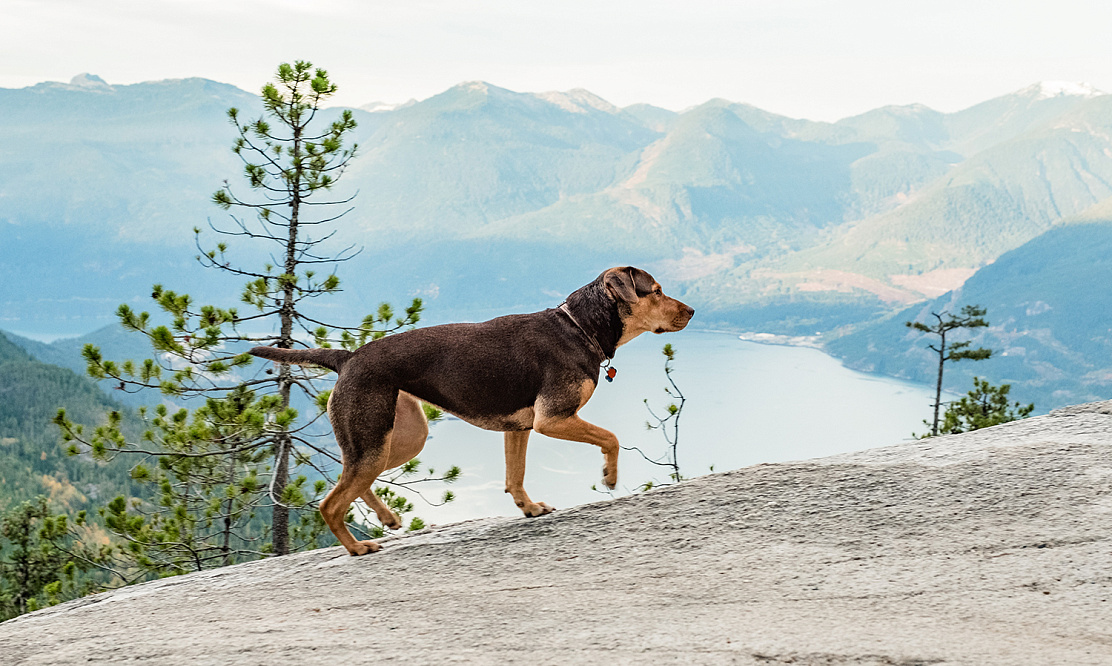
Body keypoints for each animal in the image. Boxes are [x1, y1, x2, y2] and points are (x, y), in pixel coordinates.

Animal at [250, 264, 693, 551]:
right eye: (655, 290)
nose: (691, 311)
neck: (578, 327)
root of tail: (348, 358)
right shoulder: (553, 419)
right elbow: (611, 437)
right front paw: (610, 476)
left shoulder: (520, 429)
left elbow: (515, 477)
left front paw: (530, 508)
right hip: (375, 438)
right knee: (330, 502)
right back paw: (357, 548)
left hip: (400, 438)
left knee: (354, 482)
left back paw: (387, 519)